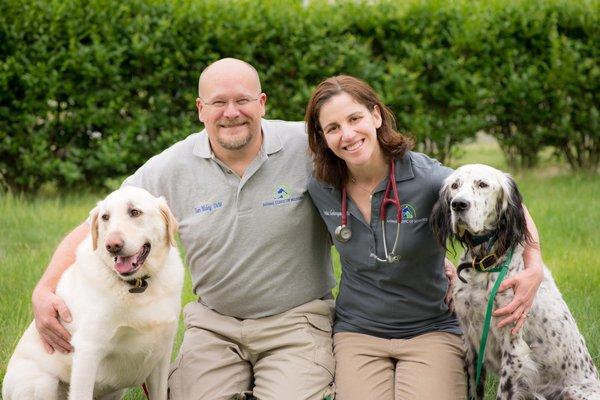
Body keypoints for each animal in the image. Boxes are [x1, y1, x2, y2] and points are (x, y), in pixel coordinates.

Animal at [2, 187, 184, 400]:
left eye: (135, 212)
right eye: (105, 217)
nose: (112, 245)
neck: (138, 286)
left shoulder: (161, 355)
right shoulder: (88, 350)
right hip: (42, 383)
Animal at [428, 164, 596, 398]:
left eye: (482, 184)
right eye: (455, 185)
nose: (458, 204)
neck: (484, 265)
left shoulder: (514, 349)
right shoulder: (470, 345)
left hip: (573, 392)